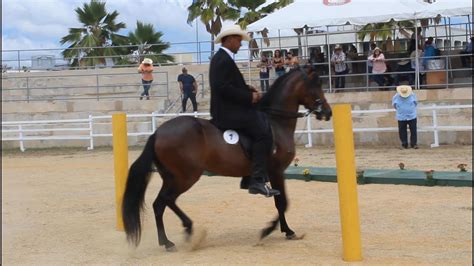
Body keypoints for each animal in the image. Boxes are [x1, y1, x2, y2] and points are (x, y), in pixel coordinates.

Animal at [120, 65, 332, 250]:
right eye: (316, 86)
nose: (328, 112)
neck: (276, 122)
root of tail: (157, 133)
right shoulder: (276, 171)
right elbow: (282, 202)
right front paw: (275, 231)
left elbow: (281, 203)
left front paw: (282, 229)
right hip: (186, 177)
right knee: (166, 200)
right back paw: (181, 233)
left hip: (172, 177)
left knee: (160, 204)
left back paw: (169, 240)